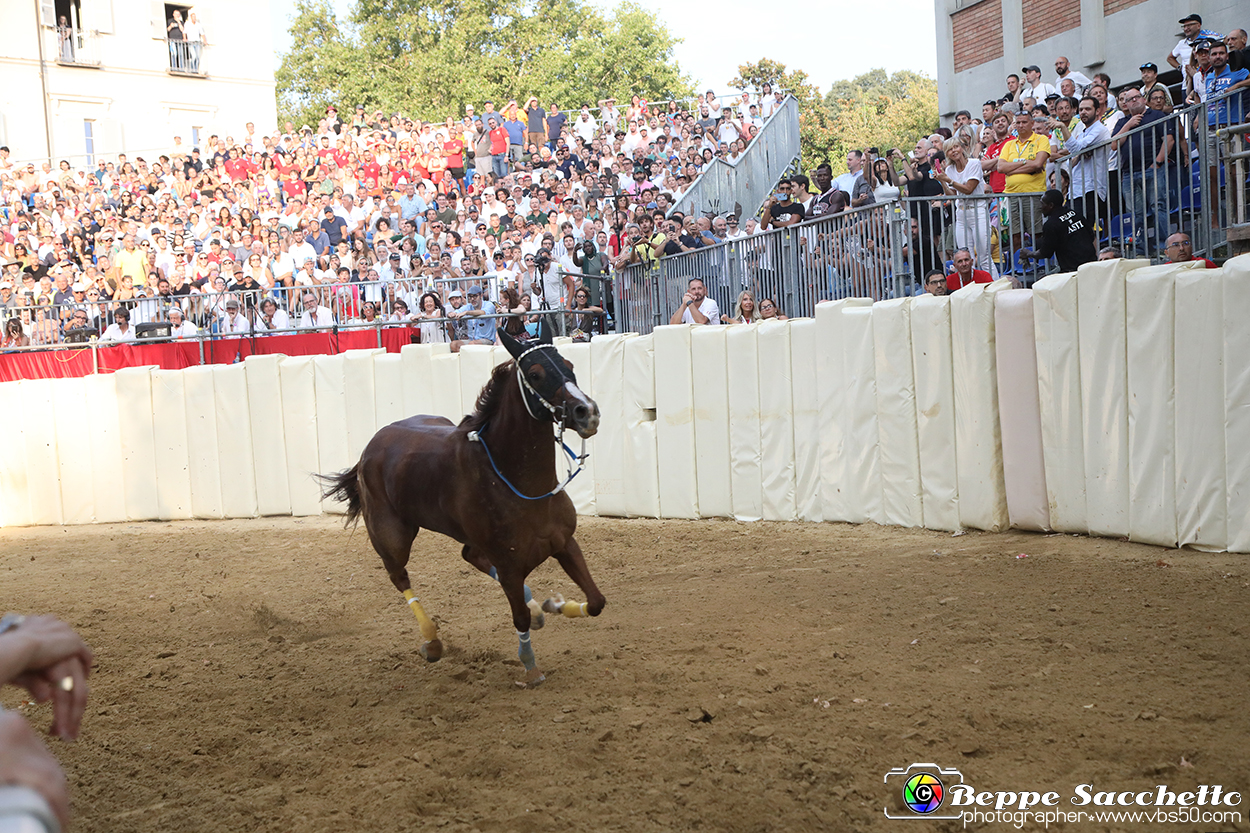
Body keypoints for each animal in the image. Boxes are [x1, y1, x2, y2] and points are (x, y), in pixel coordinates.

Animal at [322, 322, 605, 680]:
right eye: (535, 373)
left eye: (569, 366)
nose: (587, 412)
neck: (518, 484)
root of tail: (371, 446)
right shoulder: (509, 566)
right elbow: (520, 618)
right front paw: (529, 666)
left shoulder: (565, 543)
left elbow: (596, 602)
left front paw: (552, 605)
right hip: (391, 535)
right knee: (400, 576)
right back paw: (431, 641)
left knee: (470, 555)